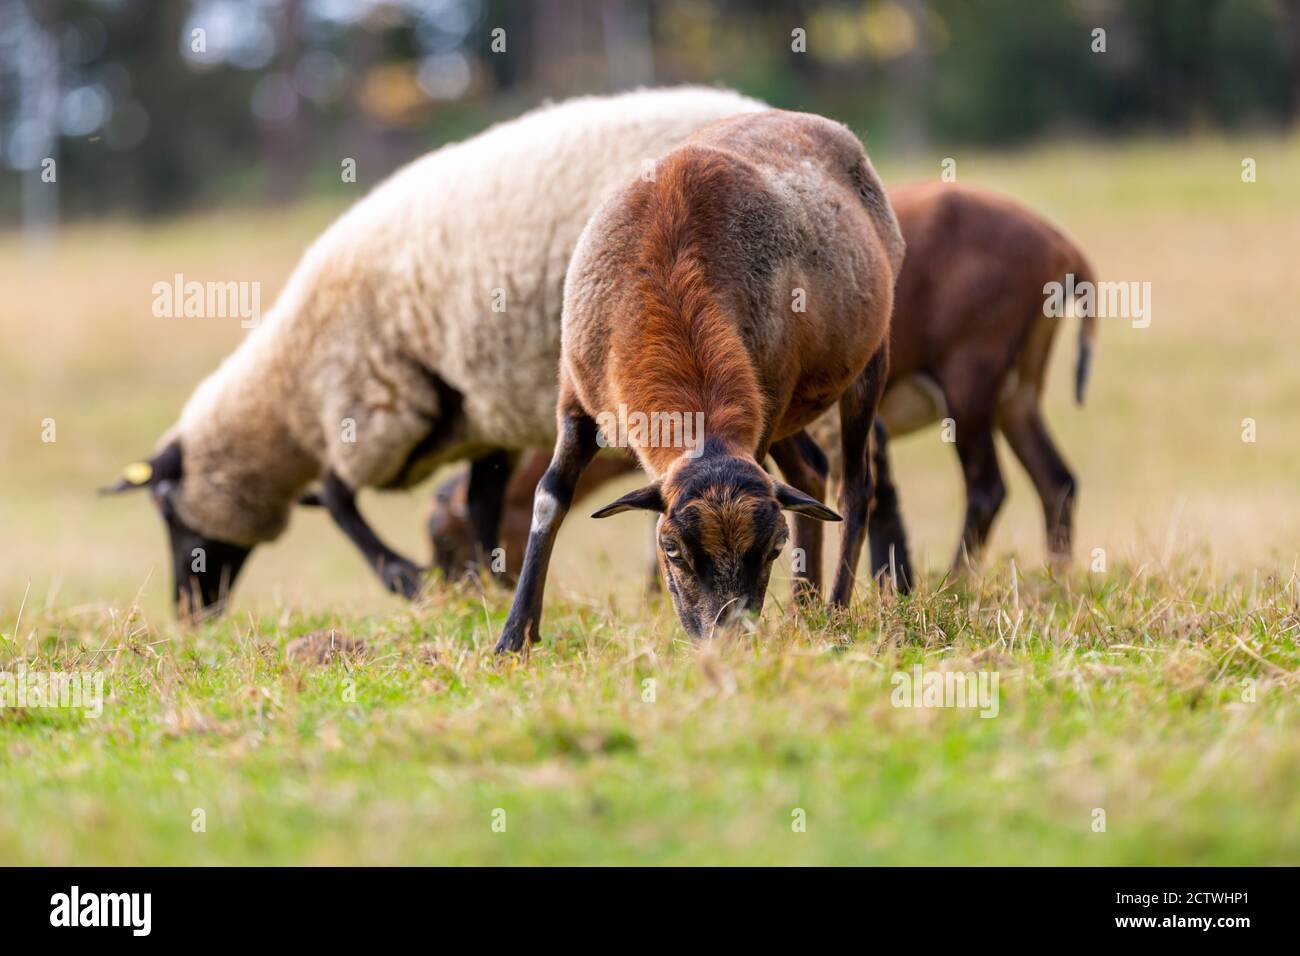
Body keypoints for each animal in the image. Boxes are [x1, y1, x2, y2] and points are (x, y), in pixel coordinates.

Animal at [99, 87, 765, 619]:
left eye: (164, 509)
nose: (188, 612)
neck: (289, 394)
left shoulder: (373, 397)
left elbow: (337, 496)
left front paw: (412, 580)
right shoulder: (484, 415)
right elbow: (480, 503)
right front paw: (482, 586)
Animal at [429, 183, 1096, 597]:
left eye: (451, 538)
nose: (463, 597)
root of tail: (1065, 247)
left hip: (968, 385)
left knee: (986, 487)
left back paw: (953, 584)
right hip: (1015, 395)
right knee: (1056, 480)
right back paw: (1056, 580)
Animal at [494, 109, 904, 652]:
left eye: (774, 548)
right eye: (671, 548)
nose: (725, 643)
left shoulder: (762, 408)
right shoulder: (575, 399)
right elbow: (549, 499)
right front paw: (513, 638)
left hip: (866, 360)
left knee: (855, 486)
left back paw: (833, 607)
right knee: (811, 472)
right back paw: (805, 606)